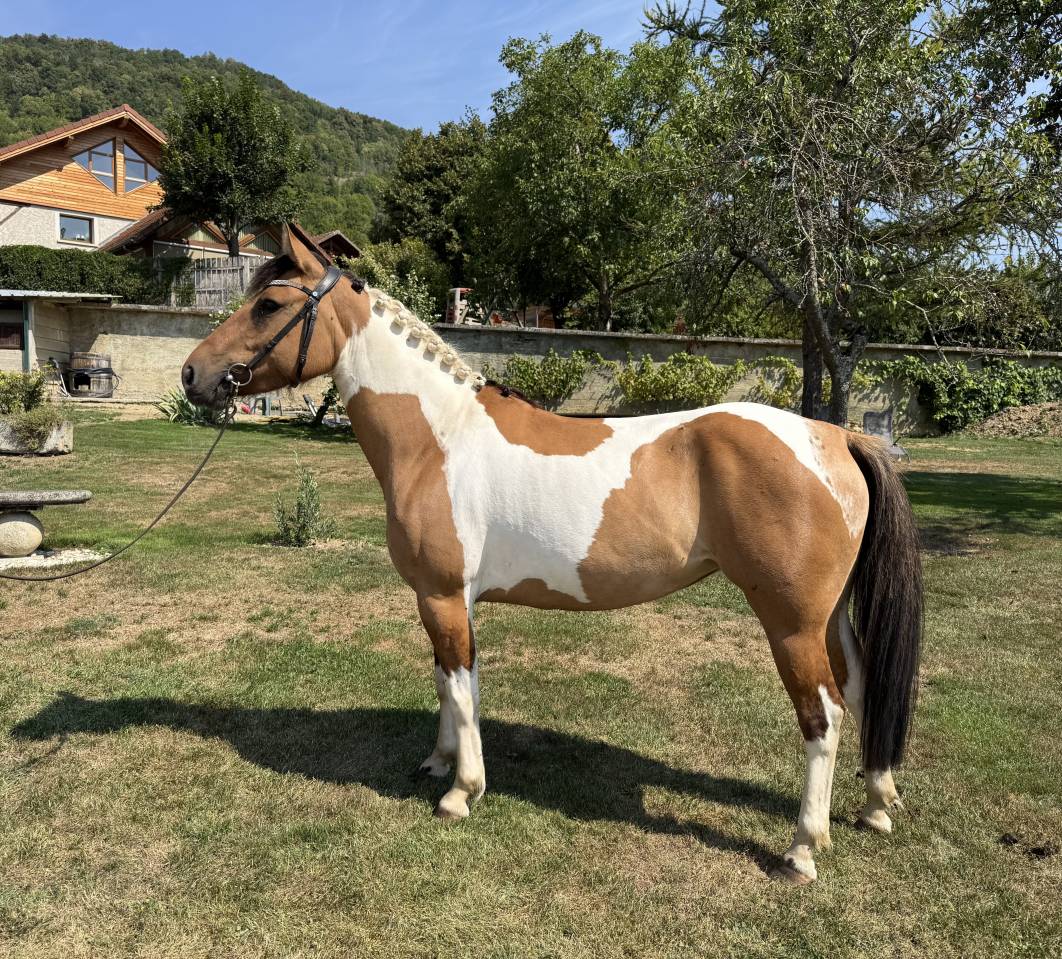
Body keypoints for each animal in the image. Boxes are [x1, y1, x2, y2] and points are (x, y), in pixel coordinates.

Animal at [182, 225, 922, 884]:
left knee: (823, 716)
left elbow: (458, 686)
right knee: (862, 688)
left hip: (791, 623)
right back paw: (875, 805)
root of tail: (836, 435)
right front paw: (438, 762)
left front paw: (460, 791)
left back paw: (802, 849)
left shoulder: (442, 595)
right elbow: (453, 684)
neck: (437, 436)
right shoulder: (446, 599)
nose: (194, 374)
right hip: (828, 618)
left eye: (268, 305)